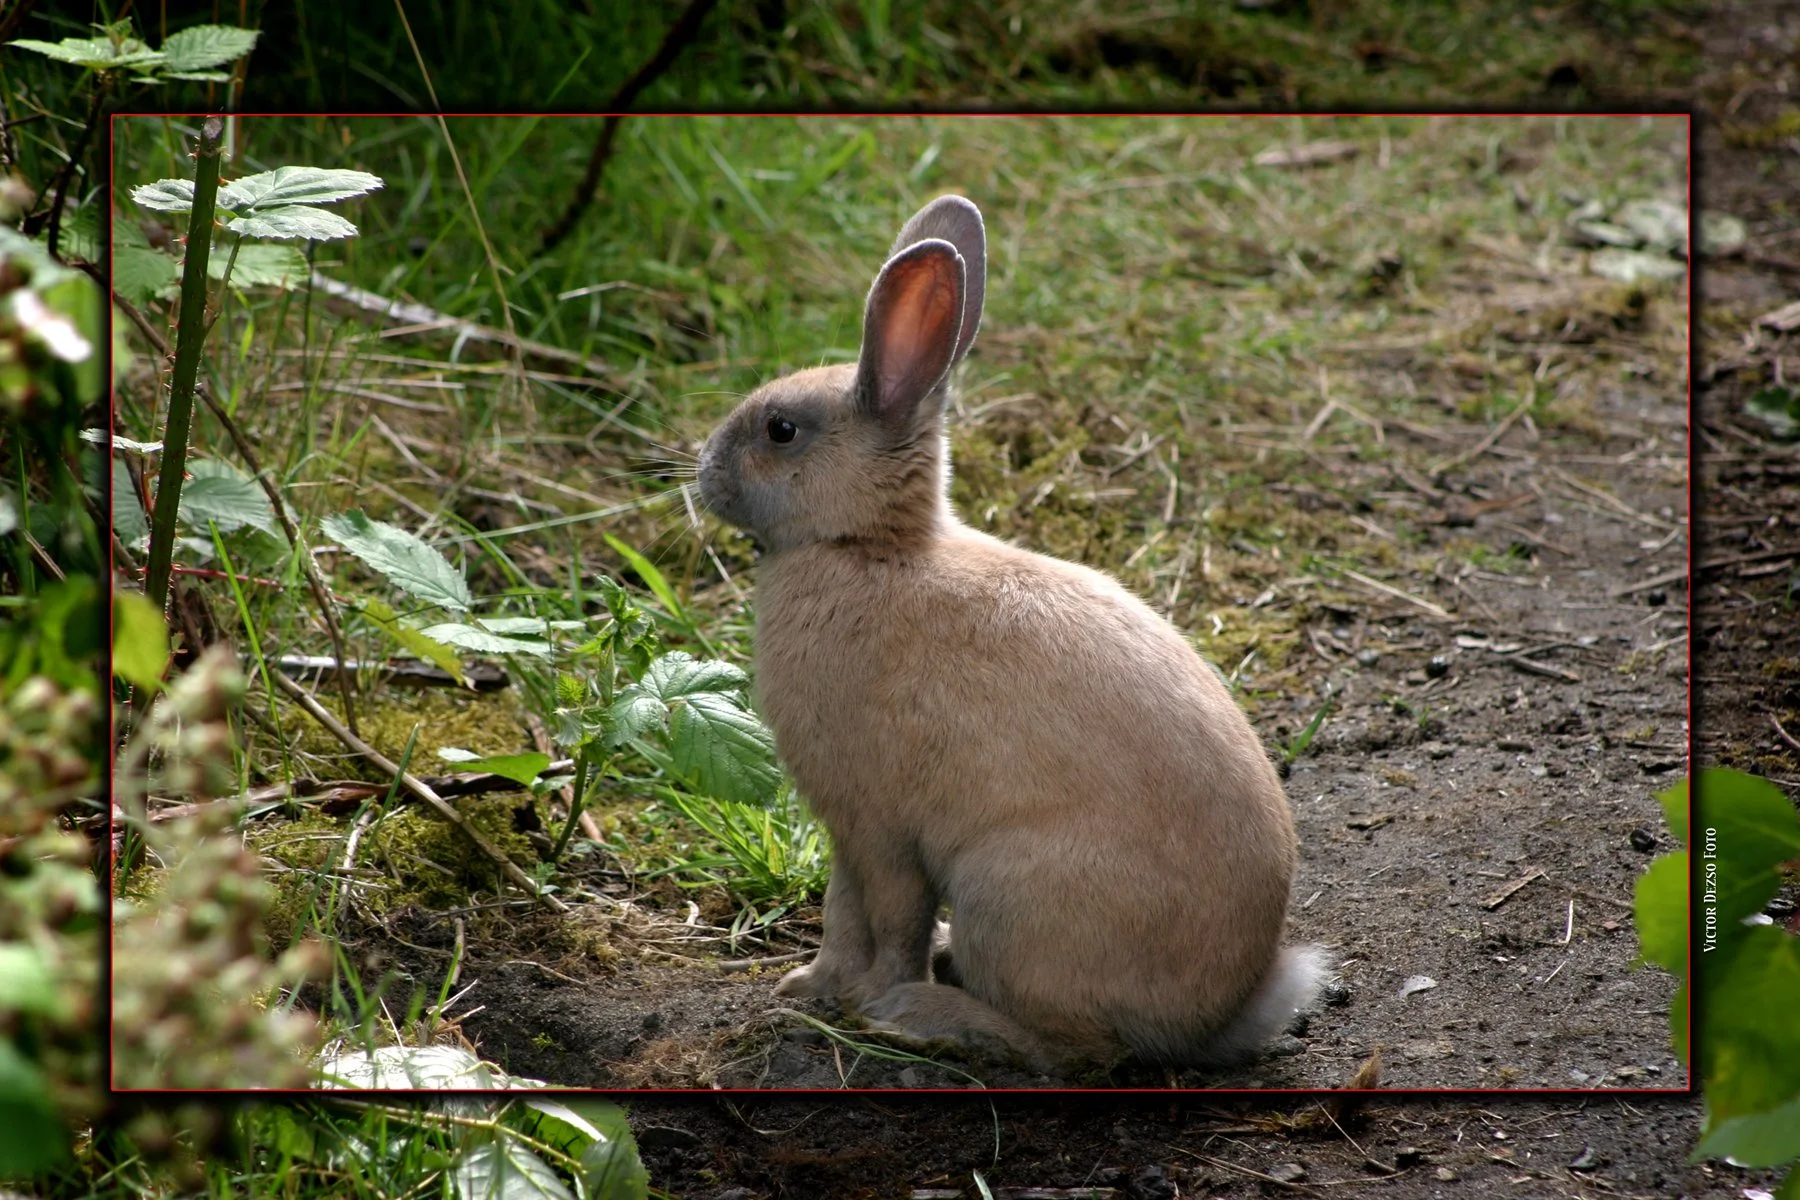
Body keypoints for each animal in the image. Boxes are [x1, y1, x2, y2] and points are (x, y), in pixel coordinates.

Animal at [696, 194, 1326, 1073]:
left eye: (780, 430)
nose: (701, 471)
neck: (868, 551)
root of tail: (1225, 1012)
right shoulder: (850, 833)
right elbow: (841, 914)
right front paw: (807, 988)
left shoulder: (880, 828)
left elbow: (884, 920)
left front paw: (867, 999)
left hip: (1008, 891)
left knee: (1077, 1050)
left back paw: (927, 1014)